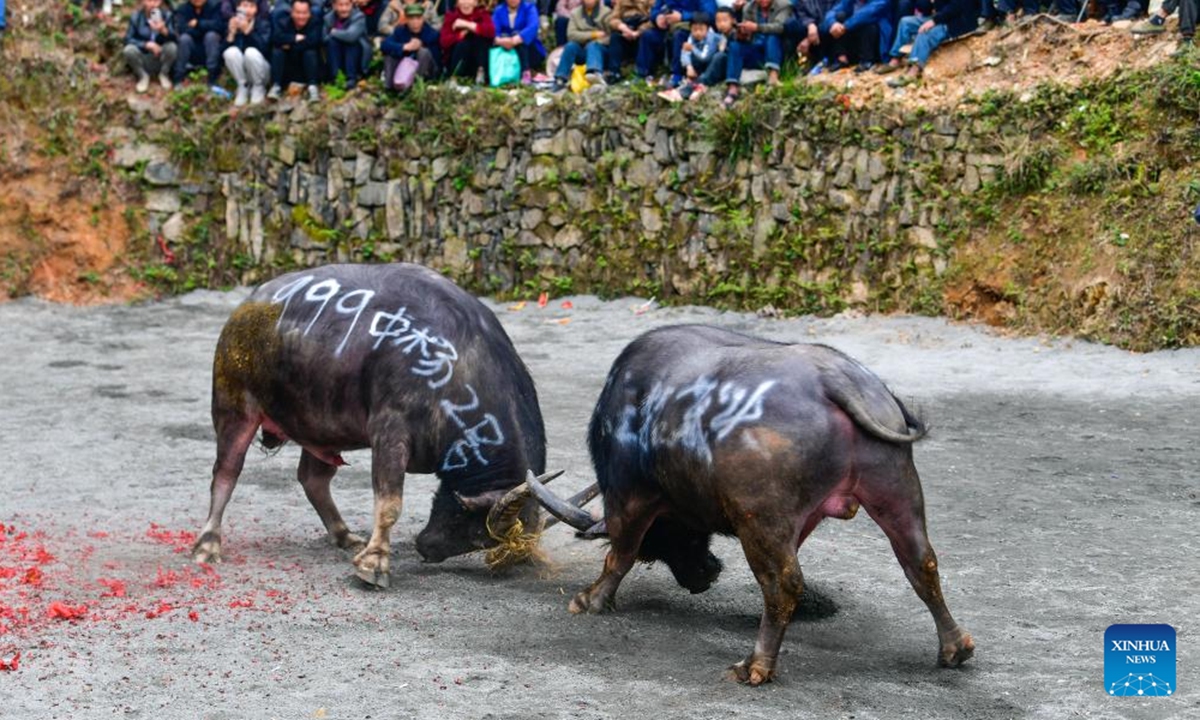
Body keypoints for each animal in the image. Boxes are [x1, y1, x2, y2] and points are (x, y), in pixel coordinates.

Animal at [190, 263, 560, 587]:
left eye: (481, 539)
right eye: (473, 529)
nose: (426, 546)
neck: (455, 369)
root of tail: (248, 305)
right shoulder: (390, 431)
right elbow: (389, 504)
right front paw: (374, 565)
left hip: (323, 425)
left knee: (313, 478)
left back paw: (343, 535)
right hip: (233, 406)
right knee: (226, 474)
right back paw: (208, 544)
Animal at [524, 324, 974, 685]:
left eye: (664, 541)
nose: (704, 575)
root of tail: (832, 377)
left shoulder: (630, 495)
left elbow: (620, 553)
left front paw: (590, 599)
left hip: (759, 518)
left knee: (783, 584)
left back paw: (755, 666)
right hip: (894, 487)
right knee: (921, 562)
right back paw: (955, 648)